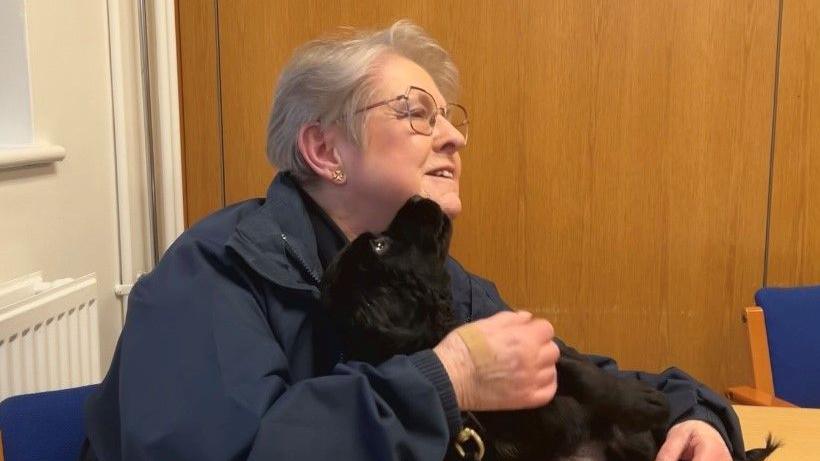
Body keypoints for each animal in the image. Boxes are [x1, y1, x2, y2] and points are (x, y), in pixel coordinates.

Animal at [320, 195, 776, 460]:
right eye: (381, 246)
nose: (418, 196)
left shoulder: (542, 344)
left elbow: (583, 371)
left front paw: (639, 402)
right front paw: (645, 404)